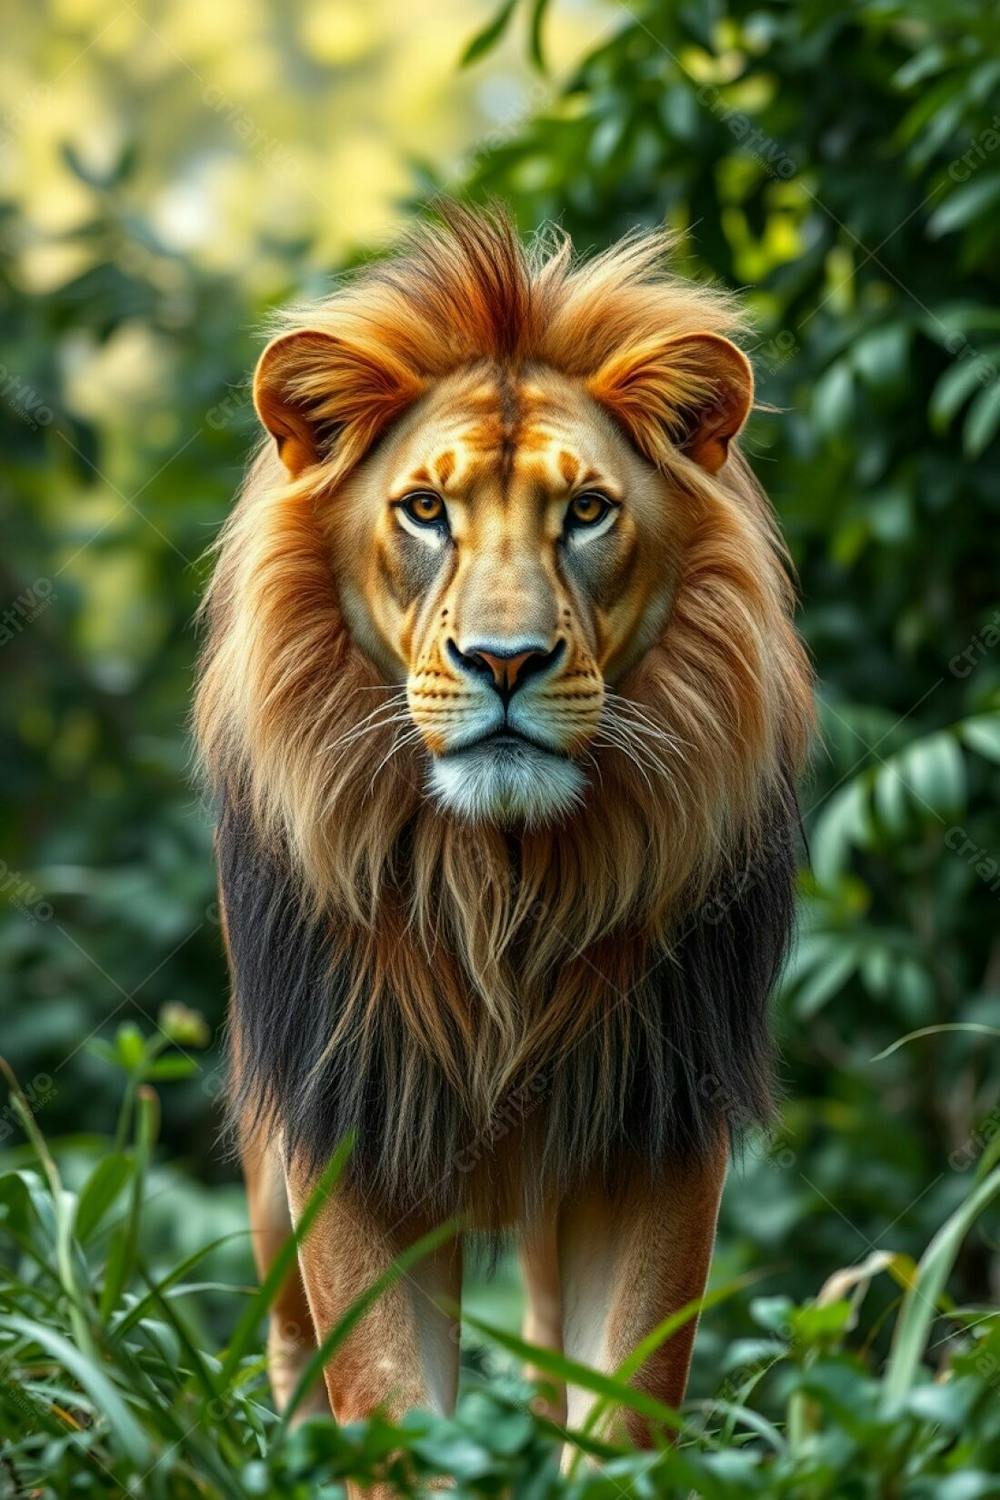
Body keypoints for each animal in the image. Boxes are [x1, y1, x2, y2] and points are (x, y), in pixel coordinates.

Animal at [195, 204, 812, 1446]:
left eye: (586, 511)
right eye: (426, 510)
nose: (506, 661)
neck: (497, 882)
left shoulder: (654, 1128)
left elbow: (626, 1402)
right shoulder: (348, 1117)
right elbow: (383, 1401)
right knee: (287, 1343)